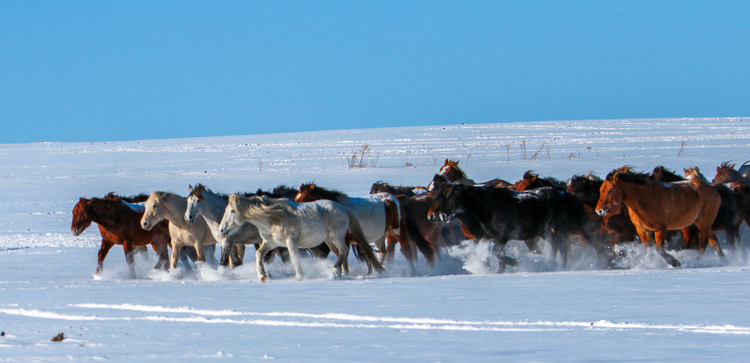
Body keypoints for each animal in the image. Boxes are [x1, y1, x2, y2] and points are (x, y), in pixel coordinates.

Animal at [216, 195, 382, 282]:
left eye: (232, 211)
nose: (222, 230)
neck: (272, 219)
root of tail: (343, 208)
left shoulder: (290, 241)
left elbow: (295, 259)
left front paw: (299, 277)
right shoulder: (271, 242)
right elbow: (259, 254)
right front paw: (262, 275)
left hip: (336, 236)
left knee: (344, 250)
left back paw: (336, 271)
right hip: (329, 240)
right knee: (342, 253)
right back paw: (343, 273)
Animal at [428, 175, 612, 272]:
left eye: (449, 197)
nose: (435, 216)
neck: (489, 208)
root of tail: (563, 194)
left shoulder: (501, 238)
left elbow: (498, 254)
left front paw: (511, 264)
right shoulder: (490, 238)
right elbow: (494, 254)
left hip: (559, 229)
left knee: (564, 246)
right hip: (548, 231)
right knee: (559, 246)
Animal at [596, 168, 724, 268]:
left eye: (610, 190)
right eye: (601, 190)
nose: (599, 210)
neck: (644, 198)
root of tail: (713, 190)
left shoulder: (661, 228)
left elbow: (659, 249)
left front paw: (675, 263)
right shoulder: (642, 229)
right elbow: (648, 249)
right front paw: (650, 264)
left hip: (704, 223)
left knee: (703, 244)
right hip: (700, 223)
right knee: (713, 241)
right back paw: (724, 260)